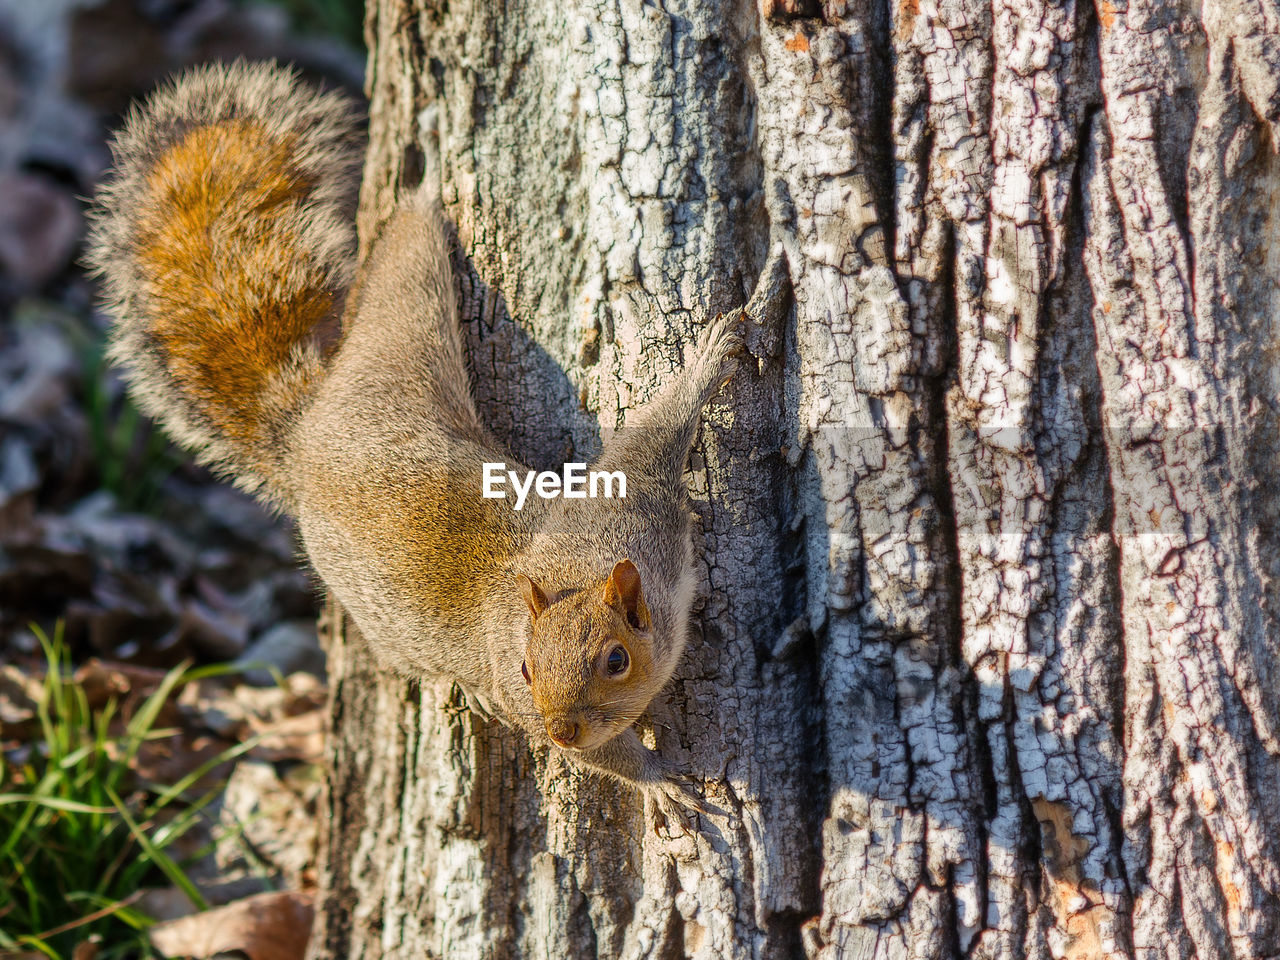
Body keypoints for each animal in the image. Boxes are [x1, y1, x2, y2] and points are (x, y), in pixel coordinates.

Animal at [87, 60, 742, 824]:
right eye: (526, 668)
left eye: (616, 660)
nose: (558, 729)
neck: (587, 564)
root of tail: (308, 436)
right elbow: (605, 756)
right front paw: (658, 782)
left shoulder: (637, 512)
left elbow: (647, 441)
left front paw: (711, 359)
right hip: (405, 345)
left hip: (399, 335)